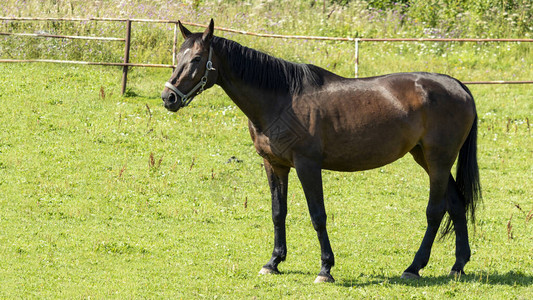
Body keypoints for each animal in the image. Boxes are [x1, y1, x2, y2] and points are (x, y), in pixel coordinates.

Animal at [160, 19, 480, 284]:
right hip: (425, 158)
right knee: (456, 203)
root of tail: (457, 86)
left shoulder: (307, 165)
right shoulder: (274, 165)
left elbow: (318, 215)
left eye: (197, 59)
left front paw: (326, 268)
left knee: (436, 210)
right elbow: (278, 212)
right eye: (178, 58)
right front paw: (273, 262)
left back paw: (414, 267)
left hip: (438, 160)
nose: (168, 98)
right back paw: (458, 265)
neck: (281, 99)